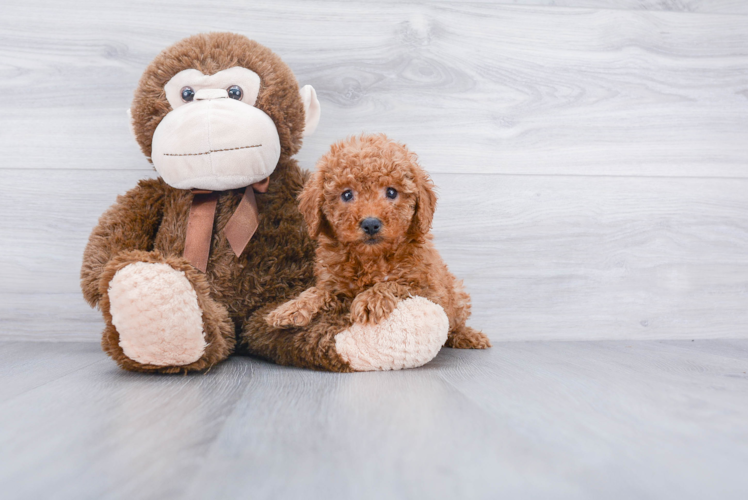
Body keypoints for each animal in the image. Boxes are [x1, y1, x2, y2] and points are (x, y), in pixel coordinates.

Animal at [268, 135, 490, 350]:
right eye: (347, 194)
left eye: (391, 192)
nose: (371, 224)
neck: (371, 258)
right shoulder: (336, 286)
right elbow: (319, 291)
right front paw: (292, 308)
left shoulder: (429, 291)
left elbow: (396, 284)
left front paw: (371, 299)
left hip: (457, 294)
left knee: (455, 324)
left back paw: (468, 336)